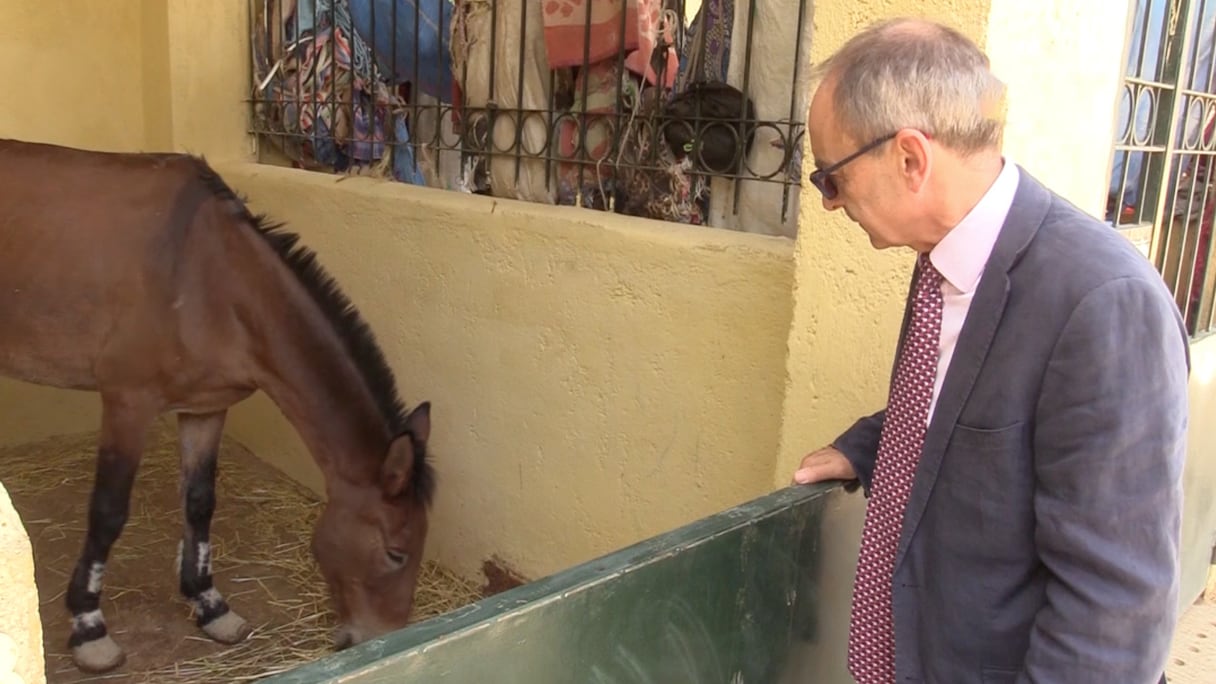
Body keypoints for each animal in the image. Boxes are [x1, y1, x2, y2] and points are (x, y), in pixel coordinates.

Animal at [0, 138, 437, 671]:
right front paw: (89, 628)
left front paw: (210, 605)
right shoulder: (127, 403)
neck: (210, 277)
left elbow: (200, 504)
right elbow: (107, 512)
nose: (386, 639)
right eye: (396, 552)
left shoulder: (206, 408)